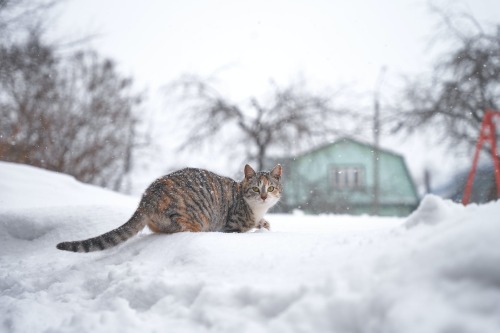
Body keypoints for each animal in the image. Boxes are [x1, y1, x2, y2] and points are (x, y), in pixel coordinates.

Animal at [55, 163, 282, 252]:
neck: (255, 210)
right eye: (255, 188)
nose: (263, 196)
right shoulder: (231, 226)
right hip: (192, 216)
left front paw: (264, 224)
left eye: (270, 188)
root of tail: (147, 197)